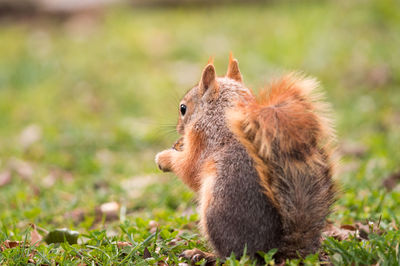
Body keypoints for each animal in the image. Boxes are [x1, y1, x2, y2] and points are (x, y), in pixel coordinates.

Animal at [155, 54, 336, 264]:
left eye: (183, 108)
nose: (178, 129)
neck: (219, 112)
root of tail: (273, 249)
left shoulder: (204, 139)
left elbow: (189, 168)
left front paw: (164, 158)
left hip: (216, 213)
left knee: (233, 256)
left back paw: (202, 254)